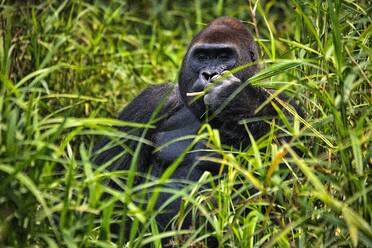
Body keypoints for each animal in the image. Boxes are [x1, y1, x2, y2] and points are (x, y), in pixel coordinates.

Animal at [93, 17, 302, 246]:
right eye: (202, 56)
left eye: (224, 56)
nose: (210, 74)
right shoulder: (150, 101)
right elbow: (105, 185)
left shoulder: (287, 105)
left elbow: (290, 178)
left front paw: (234, 97)